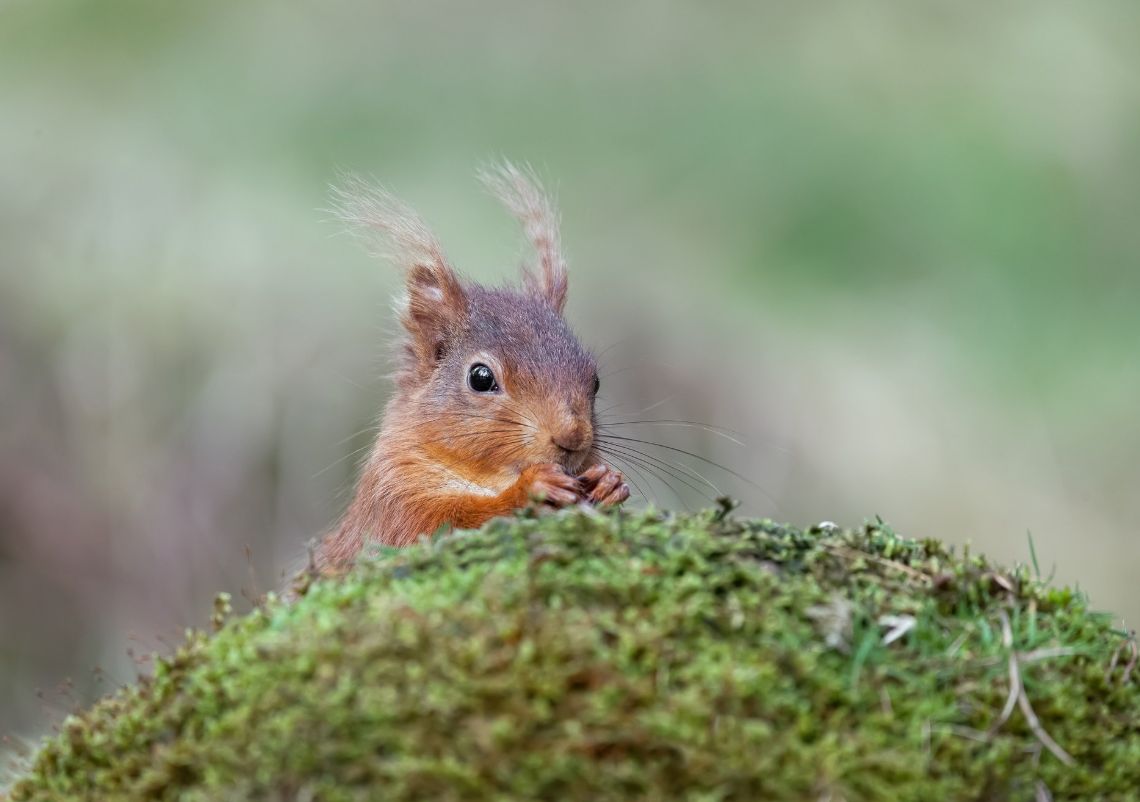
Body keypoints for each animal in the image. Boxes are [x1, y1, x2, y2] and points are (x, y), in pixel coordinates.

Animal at [315, 163, 629, 571]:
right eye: (481, 378)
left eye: (595, 381)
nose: (572, 438)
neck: (489, 477)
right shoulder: (394, 500)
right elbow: (437, 525)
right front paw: (530, 489)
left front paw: (610, 482)